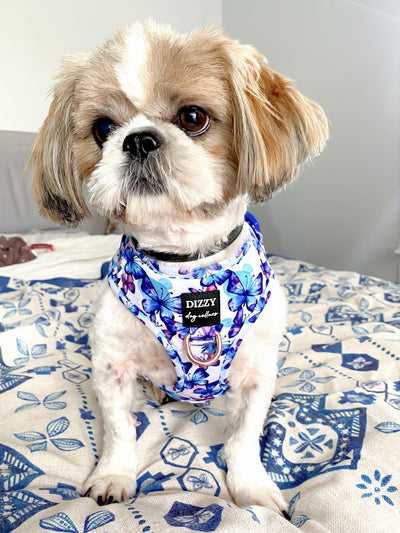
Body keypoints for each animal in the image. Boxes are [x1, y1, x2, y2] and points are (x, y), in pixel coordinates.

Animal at [28, 21, 328, 516]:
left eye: (192, 117)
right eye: (102, 128)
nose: (138, 139)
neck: (186, 269)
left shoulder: (254, 373)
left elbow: (244, 437)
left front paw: (251, 488)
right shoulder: (110, 366)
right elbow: (119, 430)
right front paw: (114, 476)